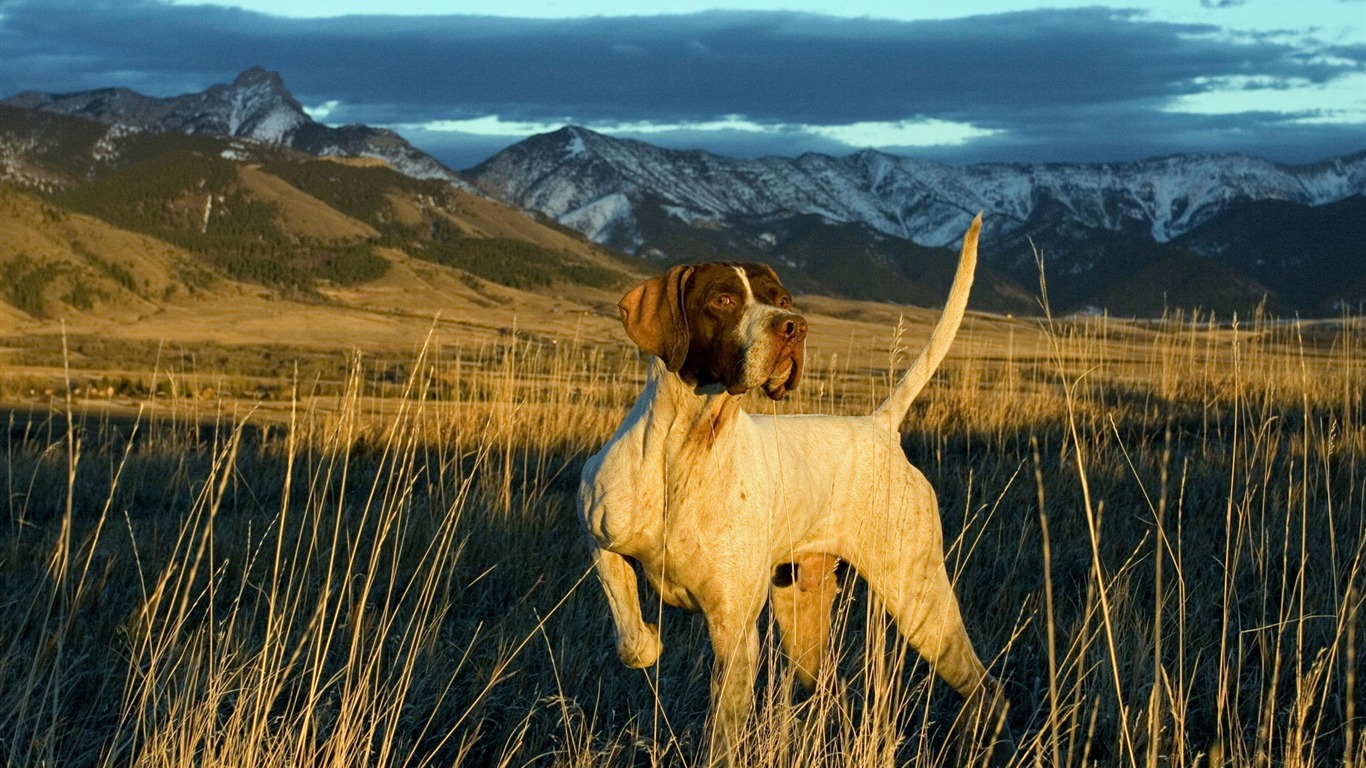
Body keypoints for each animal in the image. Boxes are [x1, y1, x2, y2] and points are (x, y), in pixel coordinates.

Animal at [576, 213, 1005, 759]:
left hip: (919, 598)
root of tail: (879, 426)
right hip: (805, 620)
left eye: (782, 299)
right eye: (722, 300)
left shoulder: (735, 633)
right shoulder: (598, 537)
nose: (794, 327)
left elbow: (721, 740)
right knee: (835, 692)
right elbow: (632, 639)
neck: (685, 449)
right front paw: (649, 641)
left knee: (986, 687)